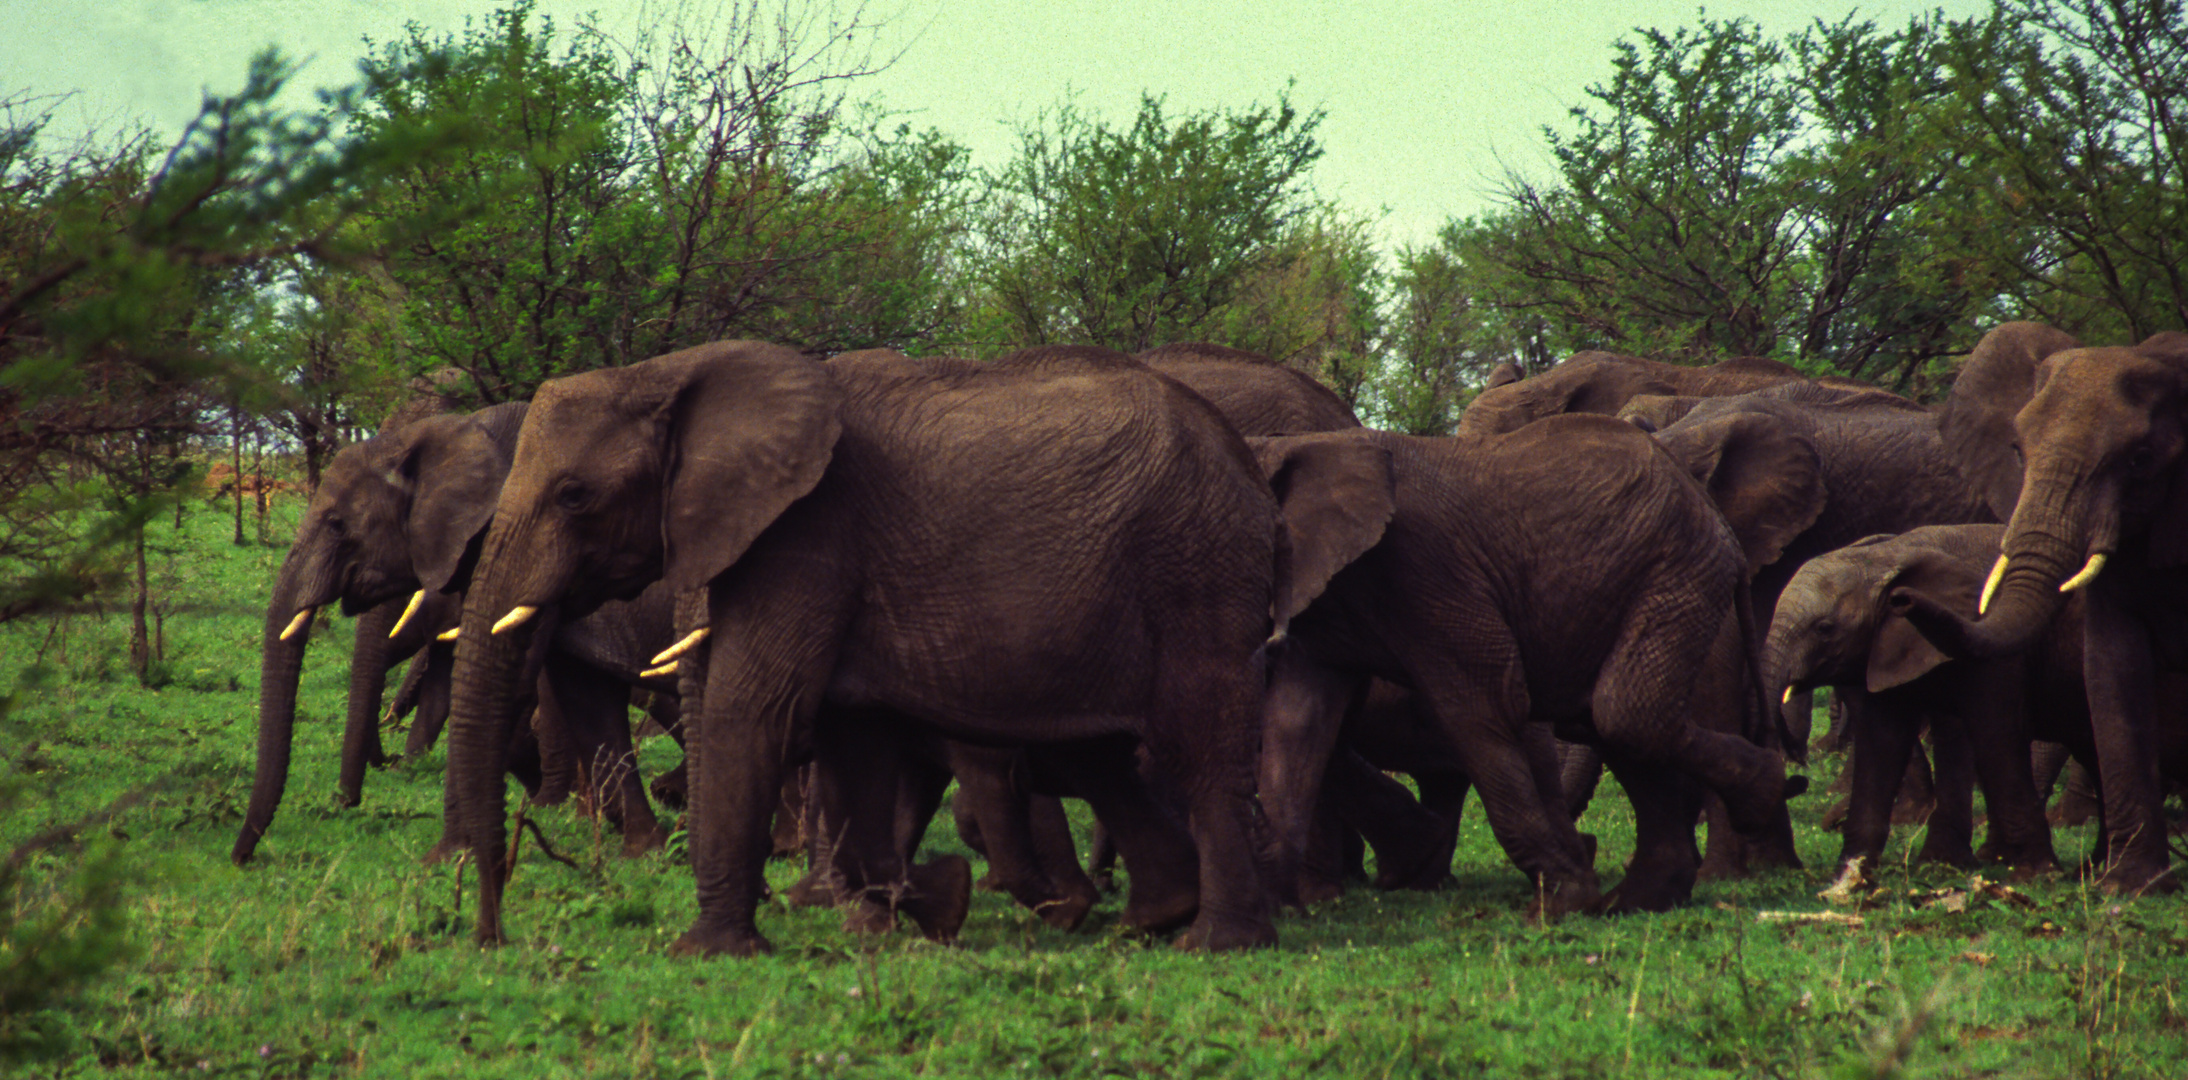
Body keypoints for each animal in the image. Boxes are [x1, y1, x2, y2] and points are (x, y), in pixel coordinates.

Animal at [439, 338, 1330, 953]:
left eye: (573, 495)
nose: (490, 935)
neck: (673, 369)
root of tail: (1250, 472)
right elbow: (853, 736)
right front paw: (911, 911)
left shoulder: (809, 532)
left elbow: (753, 711)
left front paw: (710, 952)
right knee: (1101, 755)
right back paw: (1147, 920)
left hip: (1197, 572)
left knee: (1196, 746)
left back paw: (1215, 942)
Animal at [1251, 417, 1794, 913]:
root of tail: (1712, 512)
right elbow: (1298, 725)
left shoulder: (1427, 573)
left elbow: (1483, 705)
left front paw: (1561, 902)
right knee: (1602, 719)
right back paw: (1634, 901)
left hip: (1675, 572)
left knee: (1624, 711)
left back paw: (1762, 791)